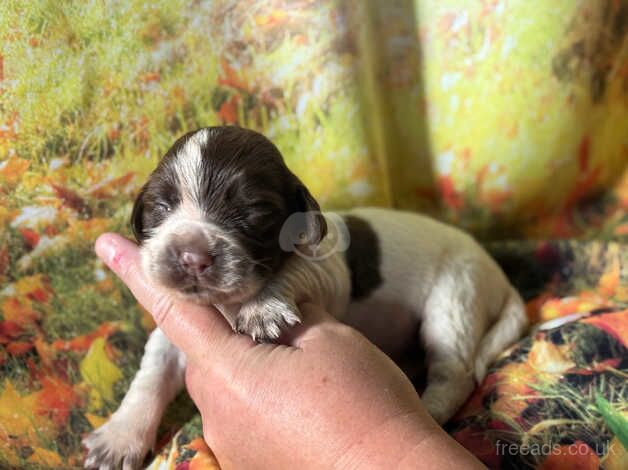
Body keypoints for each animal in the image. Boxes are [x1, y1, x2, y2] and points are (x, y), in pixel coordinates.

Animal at [82, 126, 524, 468]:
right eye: (160, 206)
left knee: (455, 372)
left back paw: (429, 407)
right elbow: (150, 377)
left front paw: (262, 307)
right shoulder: (171, 333)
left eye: (254, 212)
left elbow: (291, 270)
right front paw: (120, 436)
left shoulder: (325, 269)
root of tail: (502, 279)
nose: (192, 257)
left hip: (455, 296)